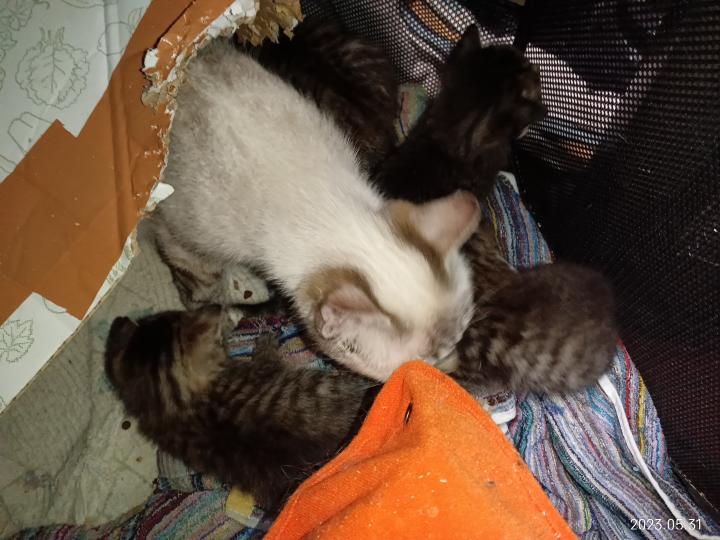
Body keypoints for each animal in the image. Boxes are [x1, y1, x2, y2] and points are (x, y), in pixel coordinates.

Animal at [150, 38, 479, 382]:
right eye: (420, 365)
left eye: (454, 344)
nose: (454, 370)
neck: (321, 198)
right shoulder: (178, 236)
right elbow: (200, 285)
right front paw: (208, 312)